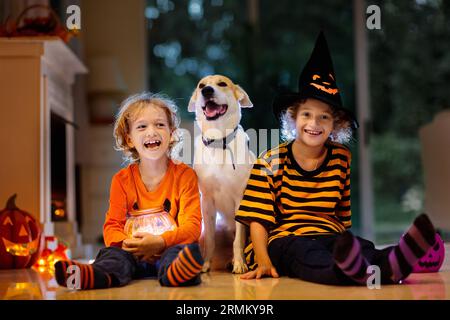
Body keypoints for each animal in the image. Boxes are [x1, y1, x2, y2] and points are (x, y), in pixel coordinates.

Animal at [188, 74, 255, 272]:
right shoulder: (207, 202)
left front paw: (240, 263)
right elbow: (209, 241)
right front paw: (205, 265)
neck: (219, 140)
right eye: (201, 85)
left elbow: (238, 240)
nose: (207, 91)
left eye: (222, 84)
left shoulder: (240, 200)